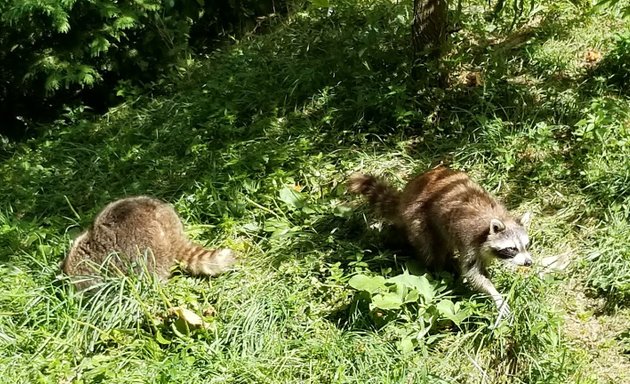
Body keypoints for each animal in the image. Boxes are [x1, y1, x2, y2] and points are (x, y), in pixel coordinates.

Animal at [348, 166, 536, 314]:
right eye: (512, 248)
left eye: (525, 245)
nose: (528, 262)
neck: (498, 220)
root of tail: (409, 191)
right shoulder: (470, 241)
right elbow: (473, 272)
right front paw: (494, 294)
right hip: (418, 218)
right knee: (429, 248)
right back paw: (437, 268)